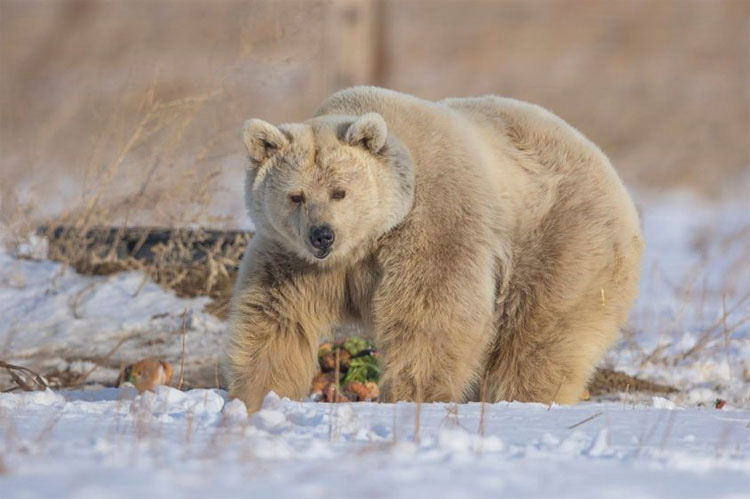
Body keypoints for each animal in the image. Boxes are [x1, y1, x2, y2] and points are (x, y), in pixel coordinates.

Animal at [226, 87, 644, 414]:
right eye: (295, 195)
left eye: (339, 191)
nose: (322, 235)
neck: (369, 238)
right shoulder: (292, 257)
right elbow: (277, 317)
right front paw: (255, 396)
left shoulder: (436, 223)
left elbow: (431, 314)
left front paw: (412, 395)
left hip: (560, 241)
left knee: (540, 340)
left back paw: (521, 400)